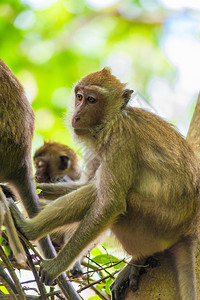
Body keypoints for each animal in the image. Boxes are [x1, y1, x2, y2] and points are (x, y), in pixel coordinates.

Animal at [9, 68, 200, 300]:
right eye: (79, 96)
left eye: (92, 100)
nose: (77, 115)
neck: (114, 120)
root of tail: (189, 227)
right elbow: (89, 185)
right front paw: (26, 190)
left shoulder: (121, 142)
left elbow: (110, 204)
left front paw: (56, 266)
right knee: (95, 190)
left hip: (158, 223)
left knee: (114, 198)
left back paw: (28, 230)